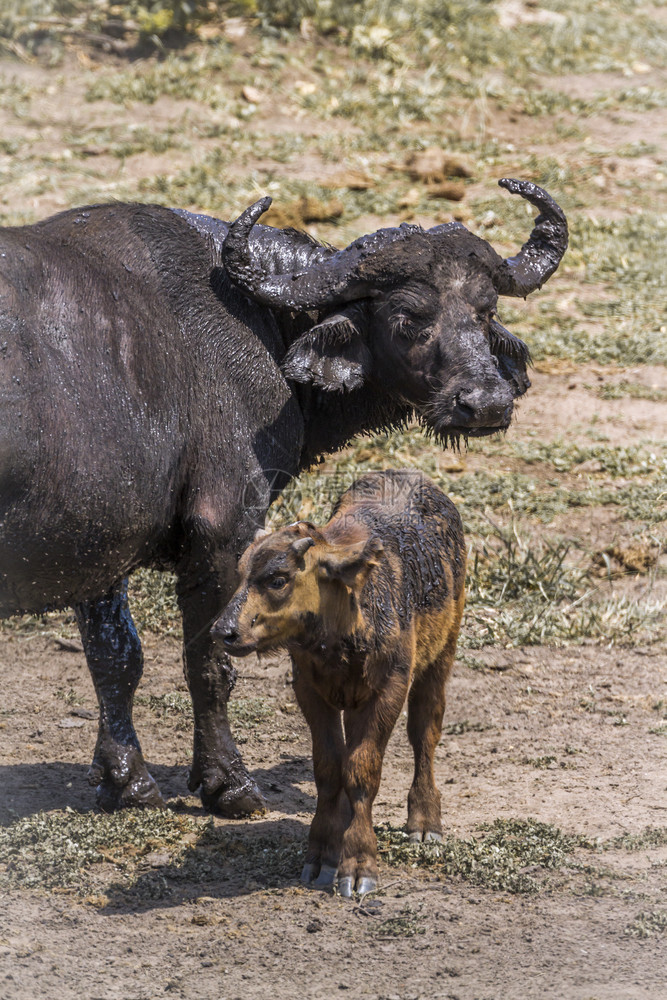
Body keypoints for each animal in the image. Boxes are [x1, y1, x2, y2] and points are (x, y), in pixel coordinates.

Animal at [0, 180, 568, 816]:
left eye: (485, 310)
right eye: (407, 316)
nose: (487, 402)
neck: (257, 323)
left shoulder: (101, 542)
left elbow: (116, 659)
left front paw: (127, 782)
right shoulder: (223, 531)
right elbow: (210, 662)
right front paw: (229, 783)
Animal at [214, 470, 464, 900]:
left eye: (278, 579)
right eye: (241, 573)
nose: (224, 630)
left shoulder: (388, 689)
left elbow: (363, 769)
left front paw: (359, 863)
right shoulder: (311, 691)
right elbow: (330, 767)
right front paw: (322, 854)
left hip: (441, 656)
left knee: (424, 735)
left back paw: (425, 822)